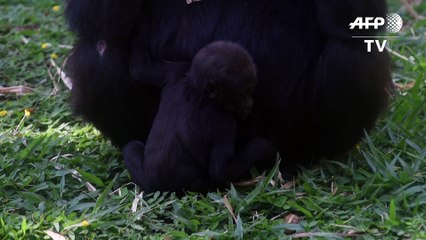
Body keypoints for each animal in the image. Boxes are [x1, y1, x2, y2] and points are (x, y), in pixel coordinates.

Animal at [122, 41, 276, 193]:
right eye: (243, 94)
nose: (250, 105)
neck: (197, 90)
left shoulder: (177, 70)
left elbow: (140, 71)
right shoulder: (225, 122)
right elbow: (220, 171)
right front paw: (263, 146)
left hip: (145, 179)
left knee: (130, 147)